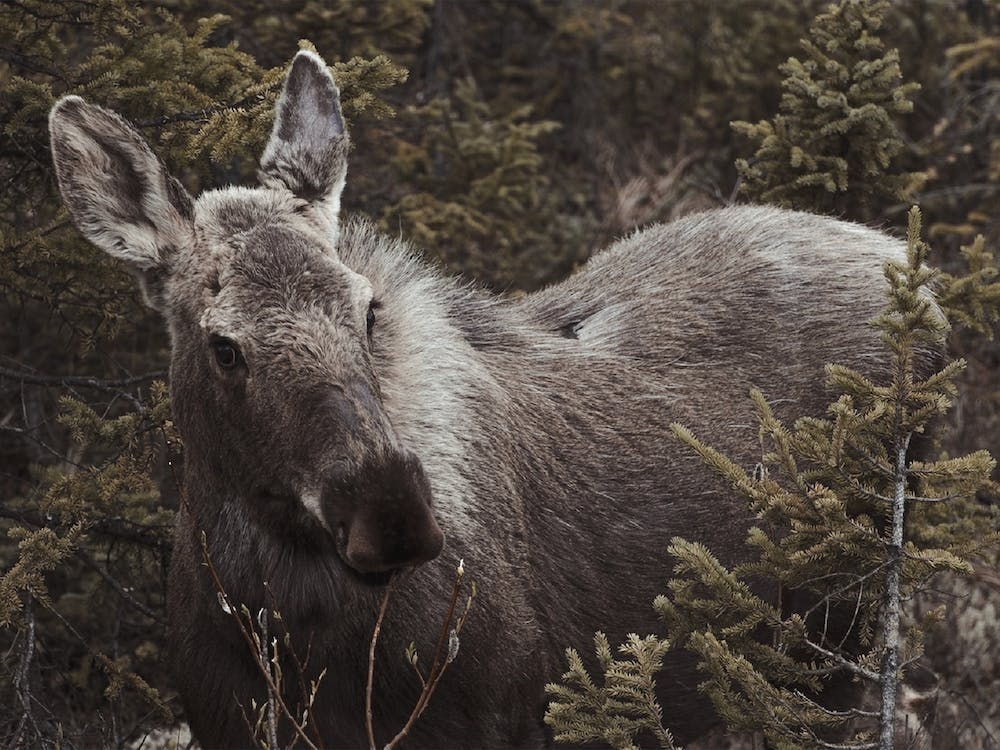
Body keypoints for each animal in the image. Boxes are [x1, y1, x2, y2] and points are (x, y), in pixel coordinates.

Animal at [48, 50, 935, 748]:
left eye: (367, 309)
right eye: (223, 345)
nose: (393, 511)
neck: (286, 617)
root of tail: (916, 276)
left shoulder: (494, 717)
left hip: (840, 646)